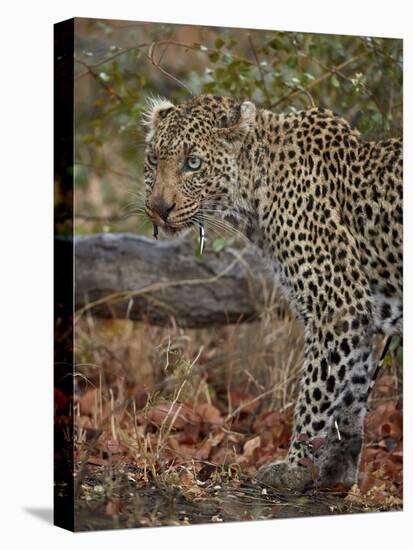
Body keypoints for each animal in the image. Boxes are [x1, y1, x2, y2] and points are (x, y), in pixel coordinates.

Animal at [142, 94, 402, 492]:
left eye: (193, 163)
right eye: (154, 159)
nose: (159, 208)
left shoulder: (337, 306)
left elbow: (317, 390)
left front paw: (294, 469)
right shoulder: (359, 315)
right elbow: (351, 394)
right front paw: (338, 472)